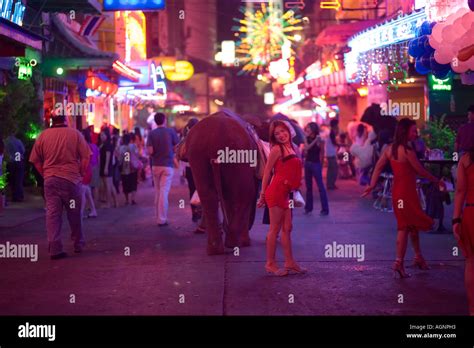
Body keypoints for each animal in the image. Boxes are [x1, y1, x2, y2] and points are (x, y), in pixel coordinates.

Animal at [179, 110, 262, 254]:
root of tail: (214, 141)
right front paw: (244, 242)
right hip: (237, 153)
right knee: (244, 193)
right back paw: (233, 243)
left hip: (198, 155)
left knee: (207, 195)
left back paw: (215, 249)